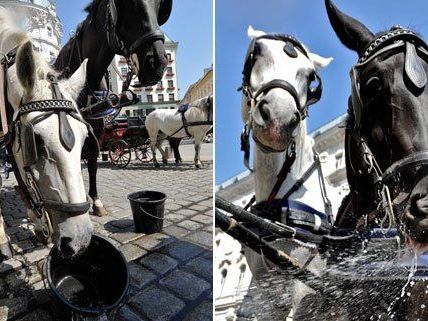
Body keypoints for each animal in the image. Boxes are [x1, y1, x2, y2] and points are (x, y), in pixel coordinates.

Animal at [54, 0, 176, 215]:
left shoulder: (96, 127)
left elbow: (92, 163)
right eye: (129, 4)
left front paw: (95, 201)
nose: (159, 62)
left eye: (159, 7)